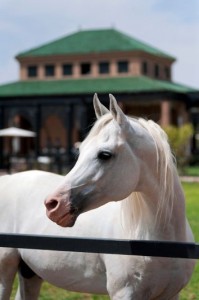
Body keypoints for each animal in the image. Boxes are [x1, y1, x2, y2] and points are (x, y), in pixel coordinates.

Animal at [0, 94, 195, 300]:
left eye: (105, 154)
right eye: (80, 150)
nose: (53, 205)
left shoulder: (171, 294)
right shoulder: (124, 293)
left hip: (29, 272)